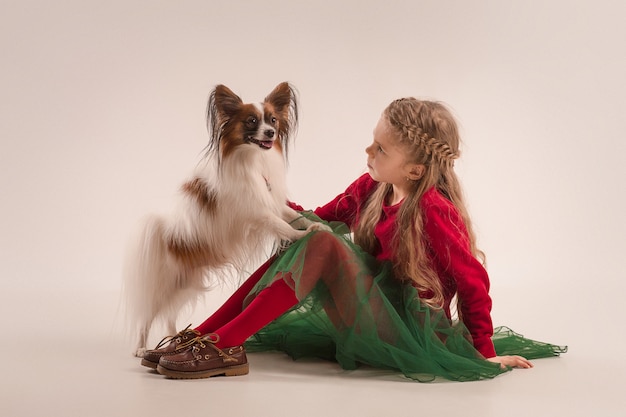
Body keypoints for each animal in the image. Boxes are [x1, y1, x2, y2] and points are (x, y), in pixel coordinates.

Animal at [123, 83, 324, 356]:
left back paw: (174, 337)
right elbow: (281, 225)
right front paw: (301, 236)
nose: (271, 133)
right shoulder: (256, 211)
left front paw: (316, 224)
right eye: (252, 121)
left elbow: (293, 216)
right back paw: (141, 348)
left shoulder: (269, 201)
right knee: (147, 316)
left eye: (273, 120)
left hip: (185, 285)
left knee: (170, 313)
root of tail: (165, 234)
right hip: (165, 286)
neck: (252, 160)